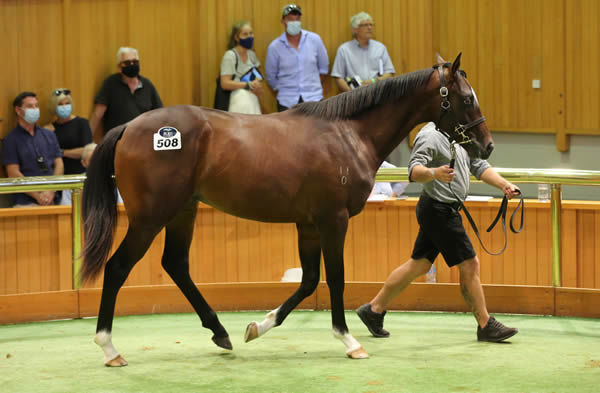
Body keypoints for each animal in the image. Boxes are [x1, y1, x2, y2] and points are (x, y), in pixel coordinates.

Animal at [79, 53, 492, 366]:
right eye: (466, 98)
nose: (486, 145)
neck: (347, 134)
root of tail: (129, 127)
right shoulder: (333, 221)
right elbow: (335, 279)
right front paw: (349, 341)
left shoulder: (307, 225)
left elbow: (309, 282)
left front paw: (257, 327)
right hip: (150, 219)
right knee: (117, 268)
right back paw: (109, 347)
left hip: (183, 212)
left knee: (176, 265)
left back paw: (221, 332)